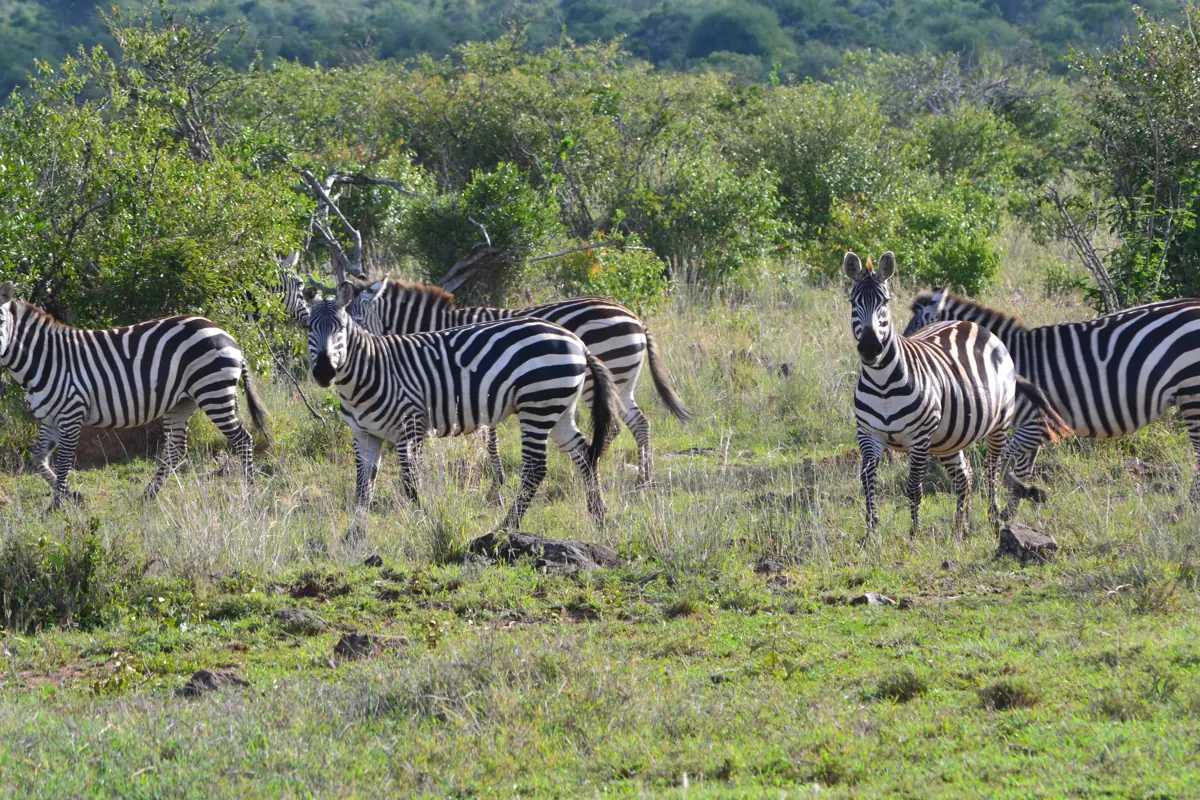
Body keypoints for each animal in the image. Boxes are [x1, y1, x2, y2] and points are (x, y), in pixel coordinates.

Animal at [0, 281, 269, 508]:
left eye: (0, 321)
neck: (46, 359)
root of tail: (227, 334)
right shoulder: (48, 418)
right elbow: (39, 461)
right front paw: (73, 496)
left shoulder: (71, 414)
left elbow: (64, 463)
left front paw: (57, 507)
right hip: (182, 402)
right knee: (176, 449)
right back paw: (147, 496)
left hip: (213, 393)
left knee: (243, 440)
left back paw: (250, 495)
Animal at [286, 274, 692, 487]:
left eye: (349, 323)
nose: (326, 368)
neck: (436, 325)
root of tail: (635, 316)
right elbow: (486, 434)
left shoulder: (475, 381)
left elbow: (487, 436)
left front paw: (496, 481)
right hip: (621, 382)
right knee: (639, 422)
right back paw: (643, 478)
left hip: (605, 378)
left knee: (619, 426)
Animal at [303, 281, 619, 539]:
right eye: (308, 329)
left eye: (342, 328)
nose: (323, 372)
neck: (370, 370)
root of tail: (575, 340)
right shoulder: (364, 435)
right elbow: (363, 488)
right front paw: (354, 536)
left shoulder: (411, 427)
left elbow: (410, 485)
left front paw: (421, 524)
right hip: (559, 407)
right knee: (585, 454)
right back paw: (599, 518)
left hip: (538, 404)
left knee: (535, 468)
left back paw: (506, 528)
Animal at [844, 252, 1070, 539]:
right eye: (853, 302)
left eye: (885, 301)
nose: (871, 348)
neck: (883, 384)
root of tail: (970, 324)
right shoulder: (868, 434)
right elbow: (866, 480)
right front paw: (871, 534)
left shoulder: (920, 438)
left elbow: (914, 487)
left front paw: (914, 535)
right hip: (949, 438)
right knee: (965, 476)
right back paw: (960, 528)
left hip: (999, 422)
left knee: (991, 469)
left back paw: (993, 517)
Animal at [906, 288, 1200, 503]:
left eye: (920, 327)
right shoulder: (1033, 431)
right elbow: (1020, 469)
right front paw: (1018, 504)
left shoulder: (1035, 424)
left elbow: (1002, 463)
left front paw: (1016, 497)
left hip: (1192, 393)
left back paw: (1189, 504)